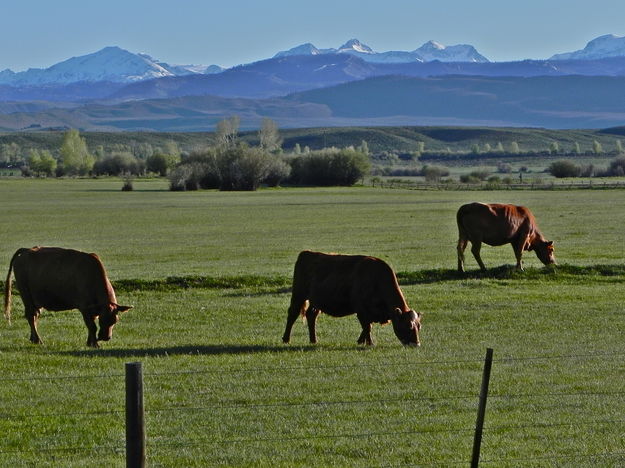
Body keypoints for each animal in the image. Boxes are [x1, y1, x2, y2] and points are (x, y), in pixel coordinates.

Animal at [3, 247, 132, 346]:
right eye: (103, 319)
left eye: (115, 320)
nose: (106, 337)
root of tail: (27, 250)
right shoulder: (85, 308)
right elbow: (92, 326)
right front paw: (94, 344)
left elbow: (91, 326)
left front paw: (90, 343)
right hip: (27, 296)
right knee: (31, 316)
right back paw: (38, 340)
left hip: (36, 302)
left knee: (35, 316)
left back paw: (33, 339)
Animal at [284, 252, 424, 348]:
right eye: (408, 325)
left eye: (419, 326)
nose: (416, 344)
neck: (376, 279)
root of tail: (306, 253)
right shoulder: (361, 310)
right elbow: (367, 327)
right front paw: (370, 343)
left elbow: (367, 326)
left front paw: (361, 341)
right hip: (298, 295)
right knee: (292, 315)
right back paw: (286, 339)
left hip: (315, 302)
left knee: (311, 315)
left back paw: (313, 340)